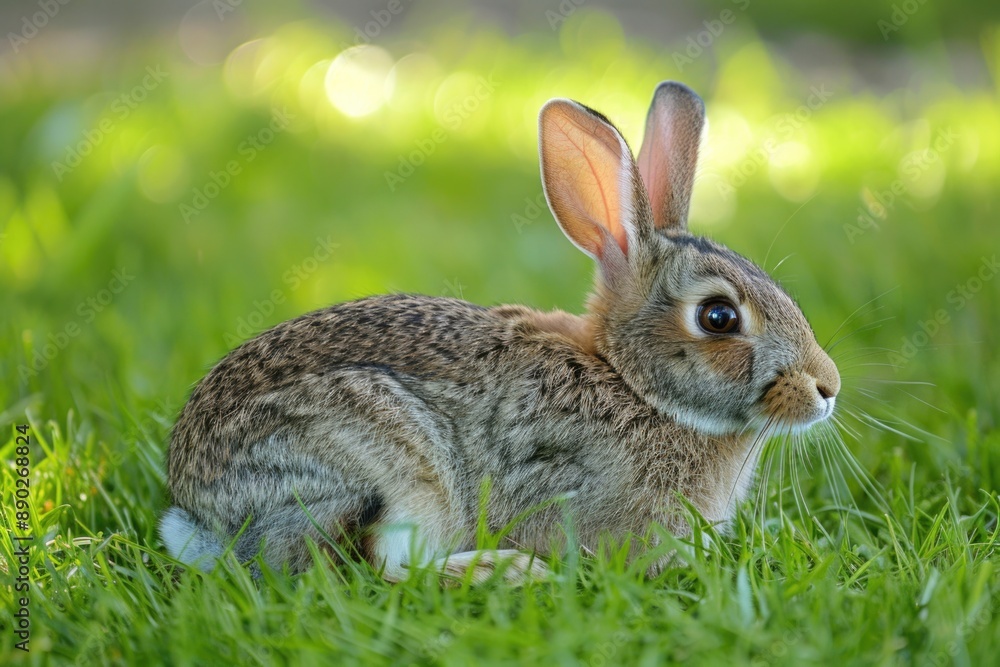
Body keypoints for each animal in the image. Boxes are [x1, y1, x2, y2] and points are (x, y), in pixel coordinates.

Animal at [160, 81, 840, 583]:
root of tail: (200, 515)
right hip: (392, 465)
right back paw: (509, 571)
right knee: (377, 568)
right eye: (718, 317)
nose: (827, 387)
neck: (634, 385)